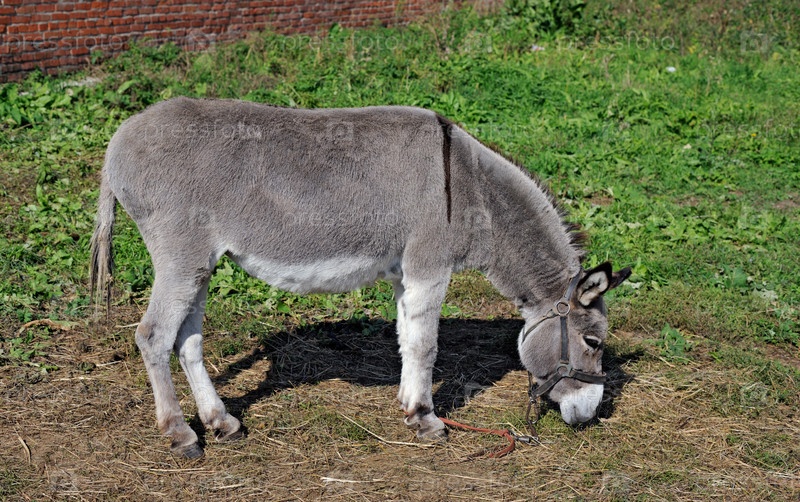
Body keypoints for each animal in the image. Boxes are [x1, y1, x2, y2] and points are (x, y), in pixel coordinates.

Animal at [90, 97, 630, 458]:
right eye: (594, 342)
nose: (590, 416)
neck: (473, 192)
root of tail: (118, 140)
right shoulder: (429, 265)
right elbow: (426, 345)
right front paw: (427, 420)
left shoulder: (403, 274)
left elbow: (406, 338)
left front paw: (409, 404)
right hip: (181, 257)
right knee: (152, 336)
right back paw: (180, 433)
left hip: (201, 263)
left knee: (188, 340)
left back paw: (220, 421)